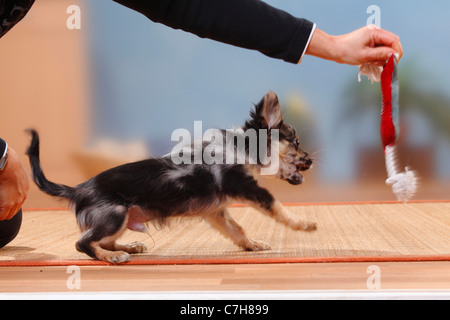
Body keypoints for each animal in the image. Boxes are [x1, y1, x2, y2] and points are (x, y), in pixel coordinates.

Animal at [27, 91, 316, 264]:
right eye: (297, 142)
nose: (311, 159)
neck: (242, 147)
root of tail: (77, 189)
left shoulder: (216, 212)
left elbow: (237, 230)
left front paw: (252, 244)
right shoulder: (245, 186)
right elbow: (276, 207)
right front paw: (303, 224)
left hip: (120, 219)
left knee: (102, 240)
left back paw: (129, 247)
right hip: (115, 214)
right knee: (83, 243)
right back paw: (113, 257)